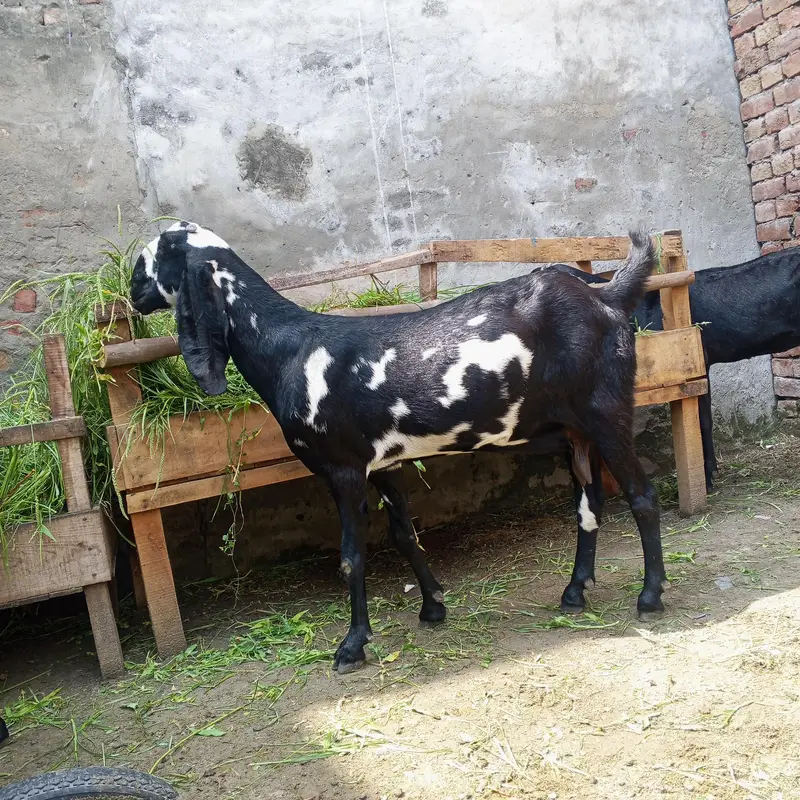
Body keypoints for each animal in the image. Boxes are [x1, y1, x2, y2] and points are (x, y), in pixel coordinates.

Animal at [130, 222, 666, 673]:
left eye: (154, 255)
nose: (133, 292)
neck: (289, 349)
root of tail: (608, 296)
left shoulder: (343, 468)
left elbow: (351, 556)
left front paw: (352, 645)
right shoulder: (382, 462)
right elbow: (404, 534)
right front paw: (433, 606)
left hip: (607, 412)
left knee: (642, 496)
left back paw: (650, 595)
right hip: (576, 432)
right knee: (589, 503)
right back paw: (574, 592)